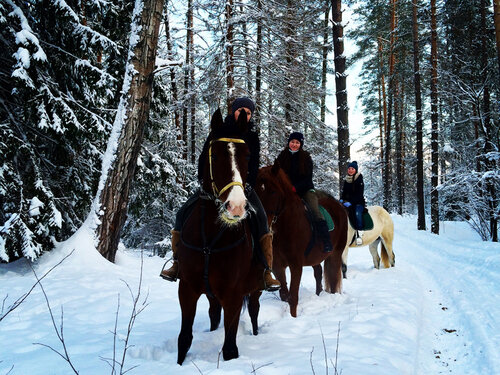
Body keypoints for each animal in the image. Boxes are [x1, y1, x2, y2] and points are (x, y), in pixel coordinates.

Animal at [175, 110, 262, 366]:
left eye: (247, 155)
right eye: (214, 154)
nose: (236, 206)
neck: (210, 240)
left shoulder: (234, 294)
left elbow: (230, 349)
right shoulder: (187, 289)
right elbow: (184, 339)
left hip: (256, 288)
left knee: (254, 310)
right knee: (214, 314)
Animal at [254, 164, 348, 318]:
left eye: (273, 191)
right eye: (255, 191)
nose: (263, 224)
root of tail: (339, 206)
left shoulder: (296, 265)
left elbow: (293, 296)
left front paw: (293, 318)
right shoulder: (278, 266)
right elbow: (284, 294)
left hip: (335, 254)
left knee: (333, 279)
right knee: (318, 273)